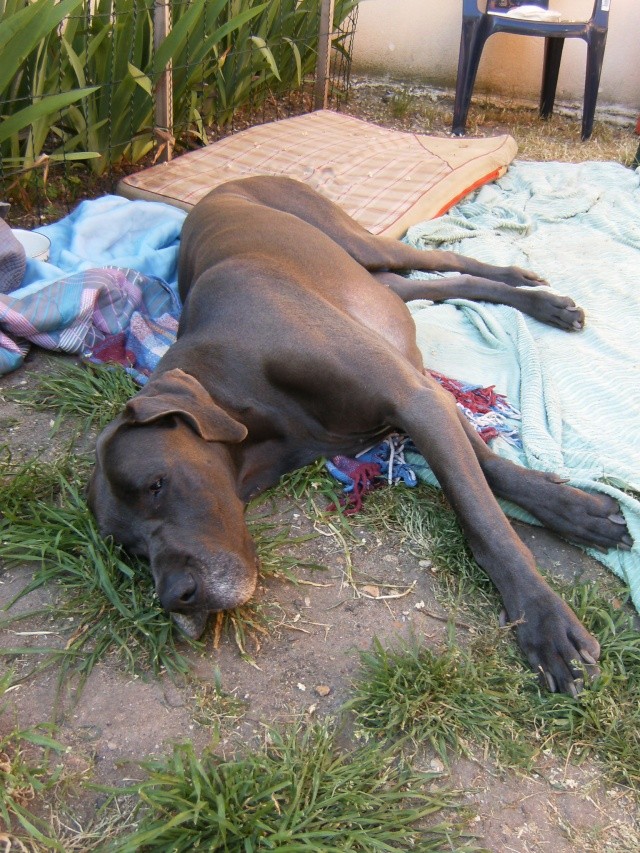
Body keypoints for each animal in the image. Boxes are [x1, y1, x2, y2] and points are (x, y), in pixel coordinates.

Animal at [87, 176, 632, 696]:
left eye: (156, 485)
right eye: (130, 548)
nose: (173, 596)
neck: (237, 384)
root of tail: (216, 190)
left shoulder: (414, 398)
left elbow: (483, 517)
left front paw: (542, 618)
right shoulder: (421, 394)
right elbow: (489, 470)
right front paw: (578, 511)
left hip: (355, 238)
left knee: (444, 259)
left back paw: (534, 291)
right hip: (373, 281)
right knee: (431, 284)